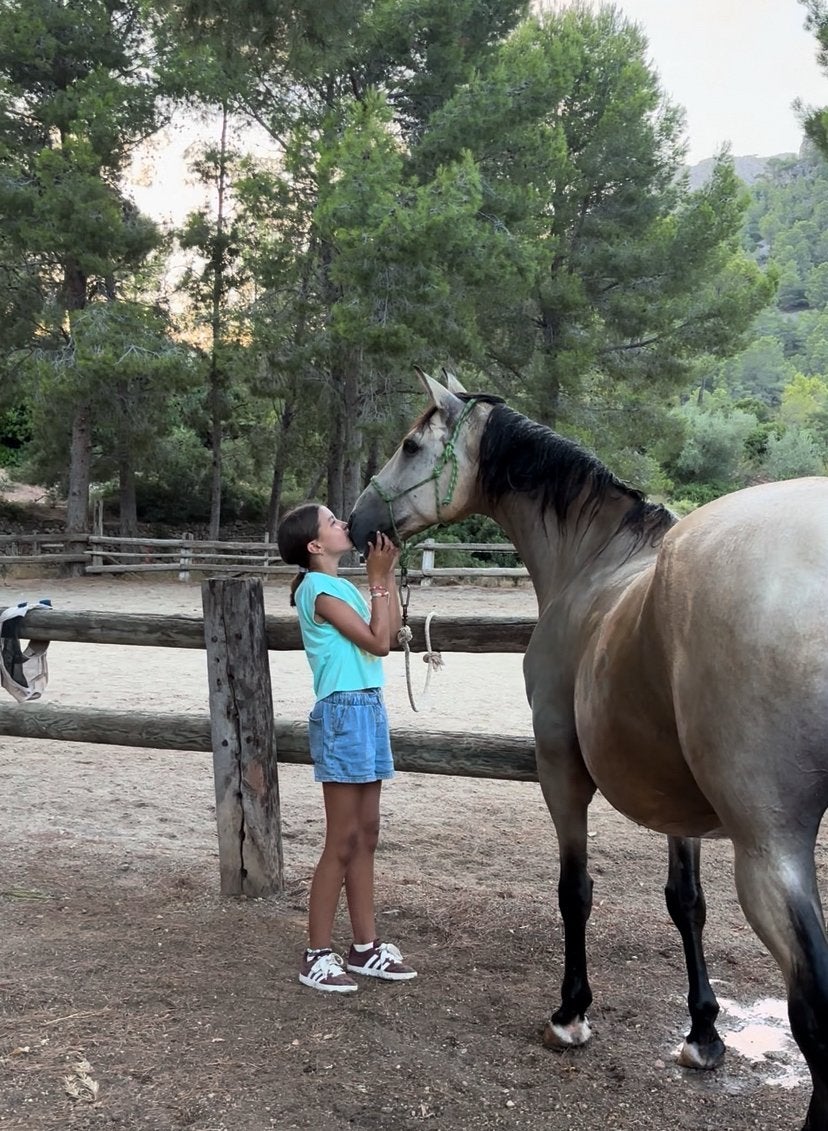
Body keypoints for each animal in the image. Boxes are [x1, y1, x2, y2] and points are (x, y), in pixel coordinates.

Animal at [347, 368, 828, 1131]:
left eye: (411, 445)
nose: (357, 521)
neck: (596, 564)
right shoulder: (674, 800)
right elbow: (686, 902)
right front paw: (703, 1032)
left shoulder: (561, 771)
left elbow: (575, 891)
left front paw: (571, 1012)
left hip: (770, 850)